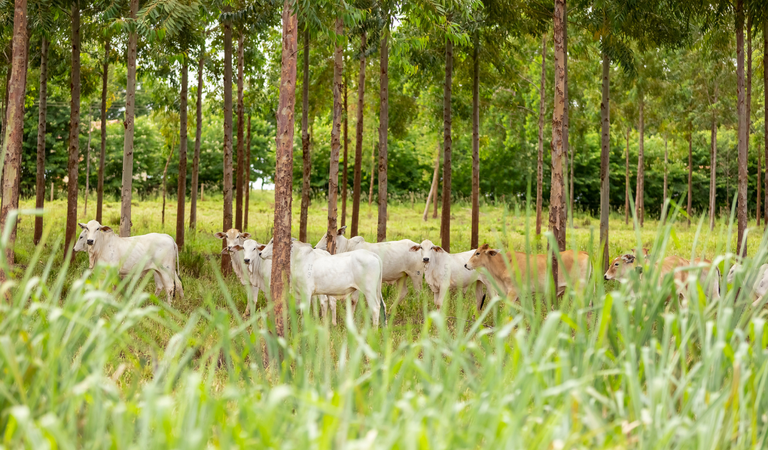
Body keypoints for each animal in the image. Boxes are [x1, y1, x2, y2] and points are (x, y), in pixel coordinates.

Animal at [462, 244, 592, 304]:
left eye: (477, 253)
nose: (466, 265)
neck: (504, 264)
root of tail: (583, 252)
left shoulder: (512, 293)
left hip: (580, 289)